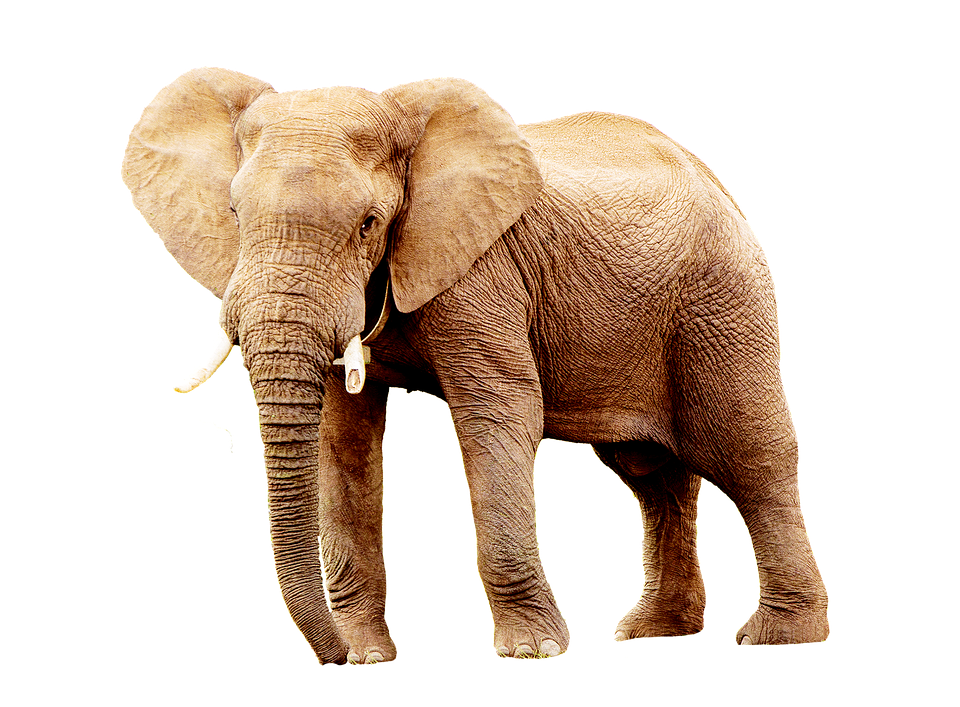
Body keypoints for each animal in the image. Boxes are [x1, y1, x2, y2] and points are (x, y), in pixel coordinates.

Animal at [120, 66, 830, 664]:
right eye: (235, 216)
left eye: (369, 223)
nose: (334, 659)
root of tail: (712, 178)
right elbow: (341, 438)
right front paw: (370, 656)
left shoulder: (484, 271)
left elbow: (499, 410)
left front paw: (532, 652)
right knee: (653, 475)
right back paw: (655, 632)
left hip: (723, 299)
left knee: (748, 455)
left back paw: (780, 637)